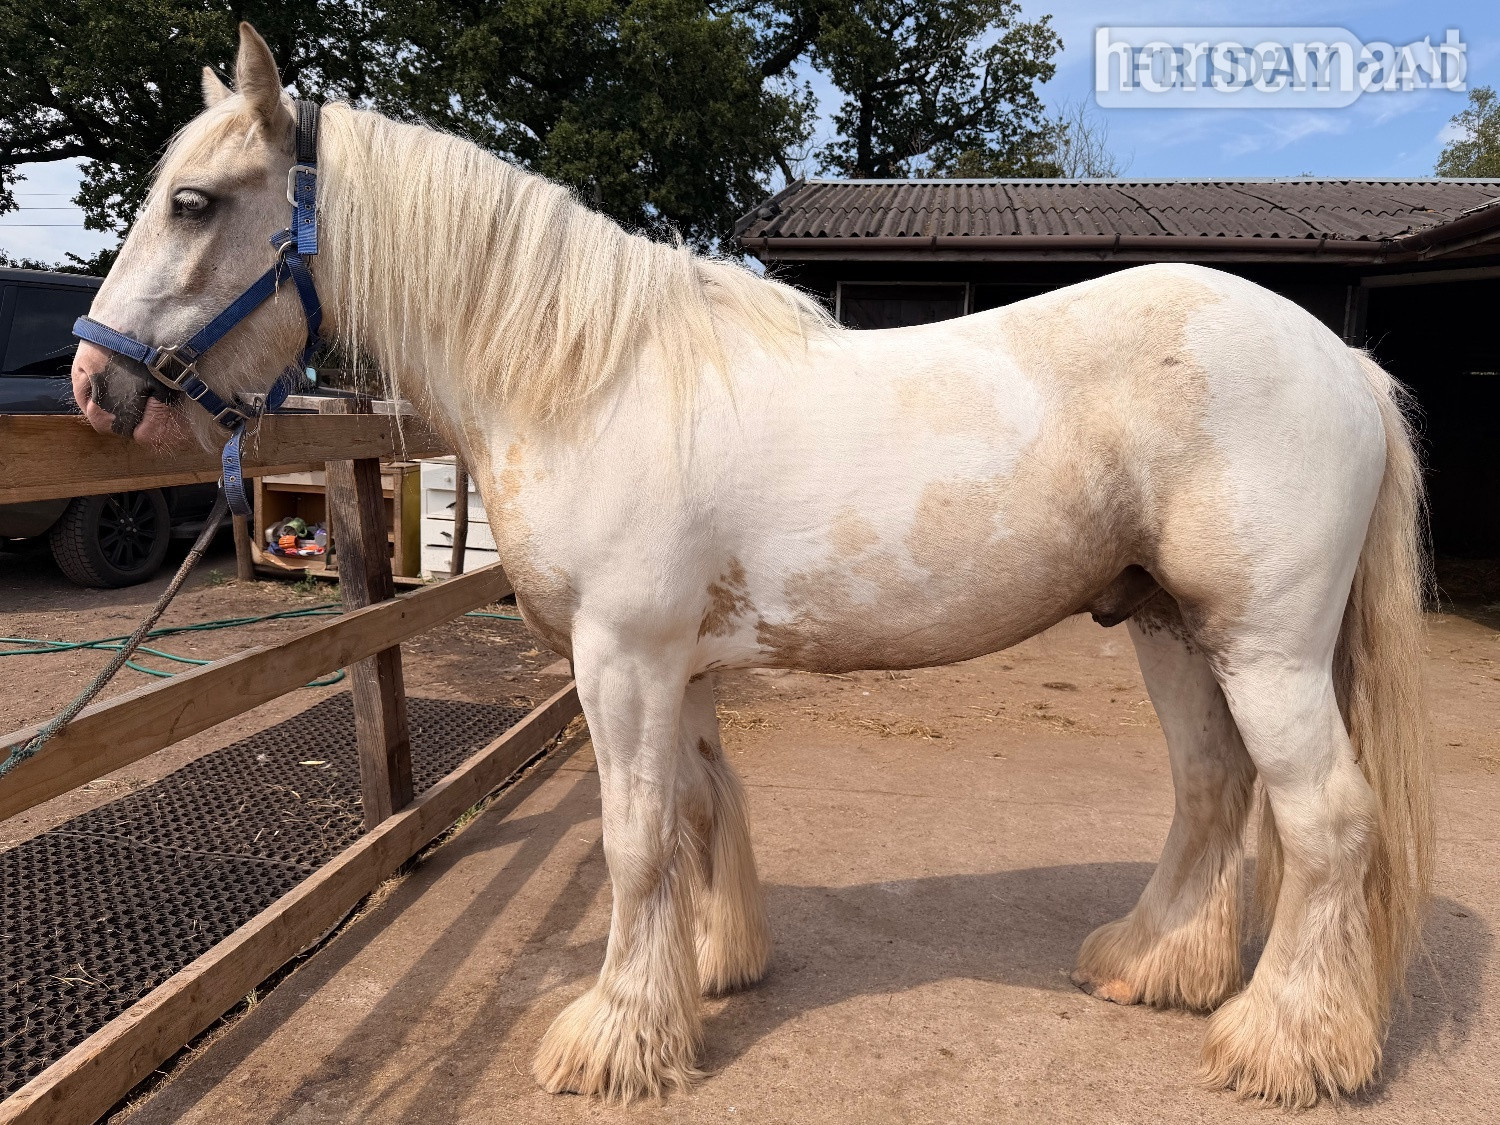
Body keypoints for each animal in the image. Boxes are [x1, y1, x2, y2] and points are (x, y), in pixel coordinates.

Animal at [72, 23, 1433, 1109]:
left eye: (194, 202)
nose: (92, 384)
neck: (591, 381)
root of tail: (1339, 360)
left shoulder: (621, 660)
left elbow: (633, 839)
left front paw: (610, 1042)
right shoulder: (678, 668)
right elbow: (701, 811)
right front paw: (704, 981)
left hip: (1266, 647)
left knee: (1325, 821)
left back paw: (1283, 1047)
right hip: (1168, 628)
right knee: (1213, 792)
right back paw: (1153, 967)